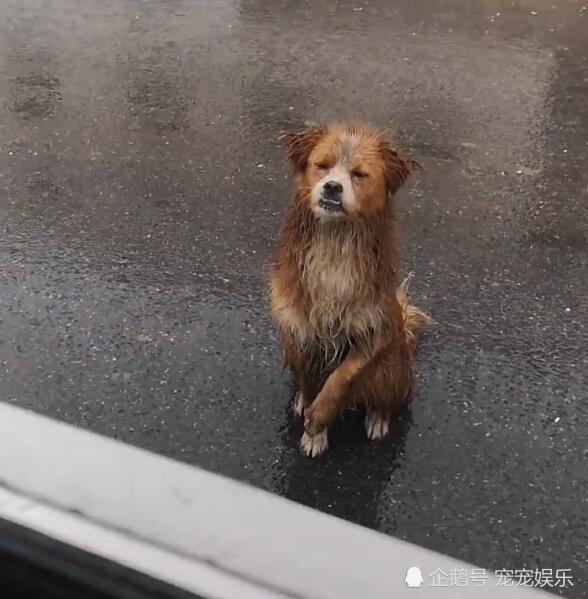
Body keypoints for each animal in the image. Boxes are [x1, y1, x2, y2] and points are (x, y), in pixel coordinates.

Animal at [268, 123, 428, 460]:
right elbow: (309, 381)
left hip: (392, 367)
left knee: (385, 398)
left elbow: (342, 379)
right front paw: (311, 423)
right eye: (322, 165)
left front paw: (318, 421)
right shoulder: (297, 330)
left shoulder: (375, 329)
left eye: (359, 174)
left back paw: (378, 419)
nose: (332, 187)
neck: (335, 241)